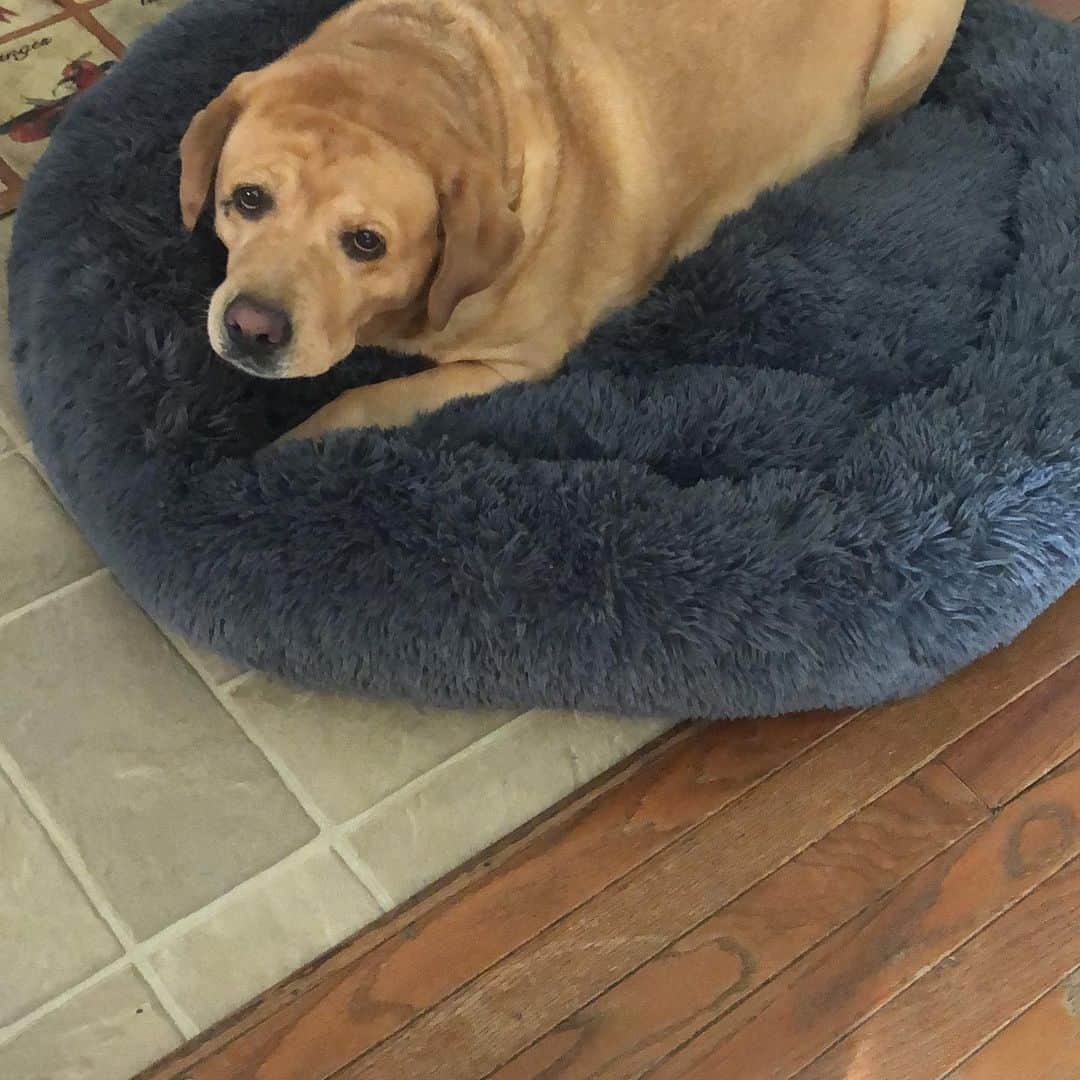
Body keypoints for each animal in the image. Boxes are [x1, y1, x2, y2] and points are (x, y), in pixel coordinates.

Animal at [181, 0, 967, 442]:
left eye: (365, 243)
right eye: (247, 199)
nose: (251, 327)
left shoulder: (511, 367)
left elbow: (362, 404)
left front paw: (281, 453)